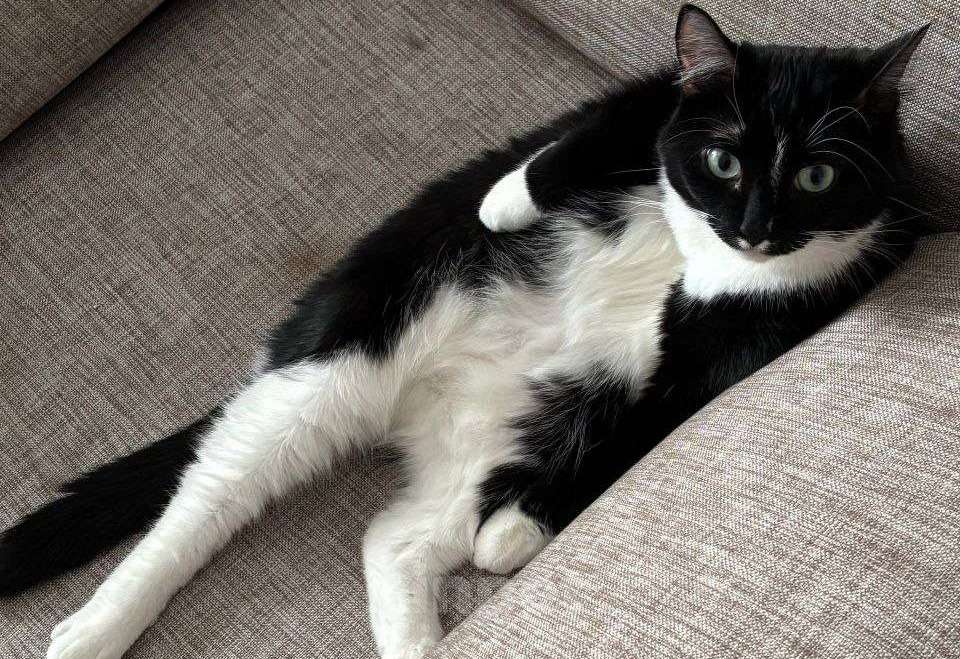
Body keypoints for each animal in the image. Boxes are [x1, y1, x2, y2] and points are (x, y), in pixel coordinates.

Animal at [0, 5, 928, 659]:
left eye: (817, 176)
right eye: (726, 161)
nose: (756, 228)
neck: (704, 252)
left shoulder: (736, 343)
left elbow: (648, 421)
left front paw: (519, 530)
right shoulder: (653, 97)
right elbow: (589, 136)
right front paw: (505, 200)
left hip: (501, 437)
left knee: (396, 536)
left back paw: (419, 629)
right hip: (356, 338)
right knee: (213, 491)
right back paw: (98, 626)